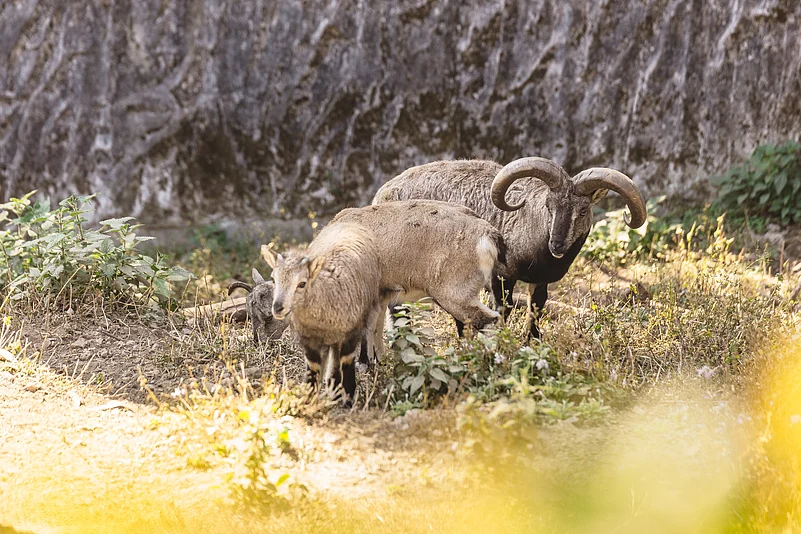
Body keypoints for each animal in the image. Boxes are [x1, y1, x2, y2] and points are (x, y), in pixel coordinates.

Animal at [261, 222, 383, 403]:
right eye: (273, 279)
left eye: (302, 283)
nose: (278, 307)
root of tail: (349, 223)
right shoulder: (309, 338)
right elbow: (314, 367)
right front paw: (309, 398)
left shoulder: (351, 332)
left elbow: (346, 361)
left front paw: (349, 398)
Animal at [373, 157, 647, 340]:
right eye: (549, 205)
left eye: (582, 211)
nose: (556, 244)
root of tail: (382, 194)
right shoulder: (501, 275)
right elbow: (502, 309)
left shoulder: (540, 280)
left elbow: (536, 308)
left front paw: (531, 341)